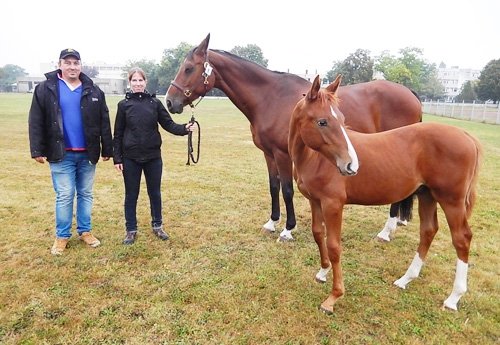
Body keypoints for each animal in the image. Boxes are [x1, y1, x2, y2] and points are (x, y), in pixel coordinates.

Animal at [165, 33, 422, 241]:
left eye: (189, 68)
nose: (169, 102)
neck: (270, 97)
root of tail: (409, 92)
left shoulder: (283, 155)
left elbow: (287, 189)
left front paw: (288, 229)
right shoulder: (268, 154)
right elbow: (273, 186)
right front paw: (272, 222)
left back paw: (385, 232)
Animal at [292, 74, 482, 312]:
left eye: (342, 119)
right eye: (322, 121)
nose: (351, 165)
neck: (313, 159)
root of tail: (466, 135)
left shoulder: (333, 204)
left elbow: (334, 246)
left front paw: (333, 297)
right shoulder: (315, 201)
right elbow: (318, 234)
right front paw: (322, 272)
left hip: (451, 201)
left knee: (461, 239)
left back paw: (454, 297)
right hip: (427, 195)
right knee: (428, 231)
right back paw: (405, 279)